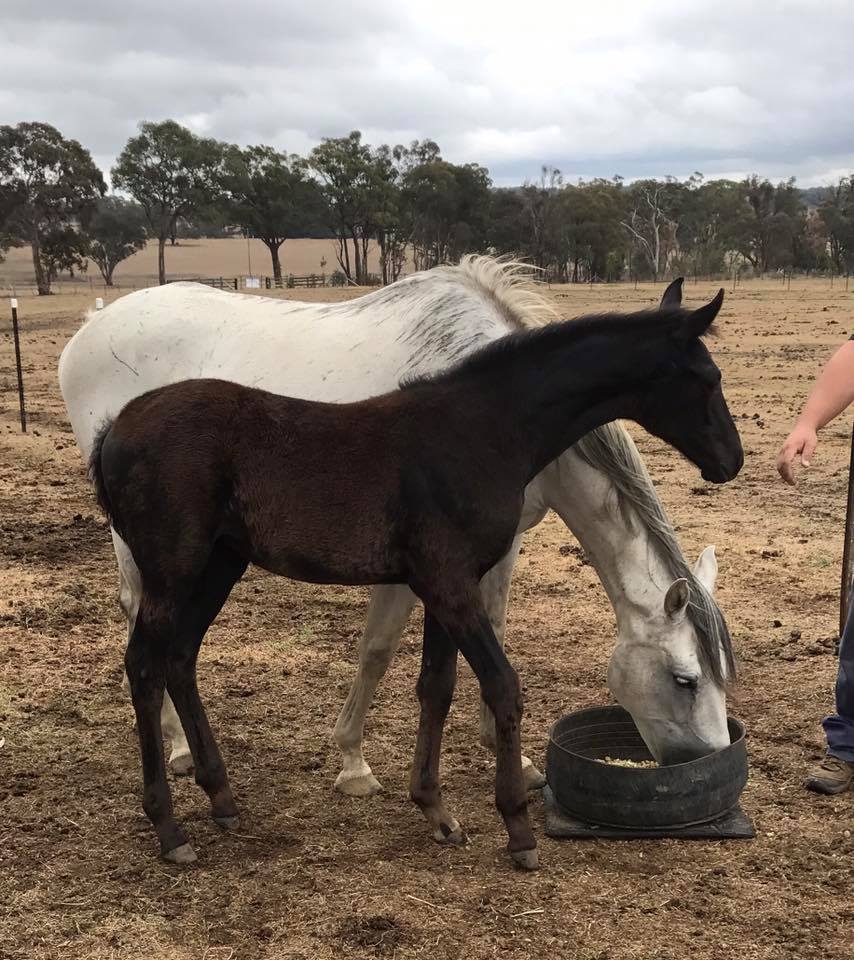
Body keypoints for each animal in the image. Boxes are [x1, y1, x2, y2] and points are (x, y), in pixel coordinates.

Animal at [87, 294, 742, 868]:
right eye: (707, 378)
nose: (730, 461)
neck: (484, 429)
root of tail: (115, 428)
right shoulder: (449, 583)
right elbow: (502, 685)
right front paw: (517, 827)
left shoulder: (445, 586)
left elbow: (437, 685)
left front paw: (436, 811)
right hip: (172, 572)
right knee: (144, 665)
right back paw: (169, 829)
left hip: (219, 565)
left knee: (179, 657)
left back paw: (221, 797)